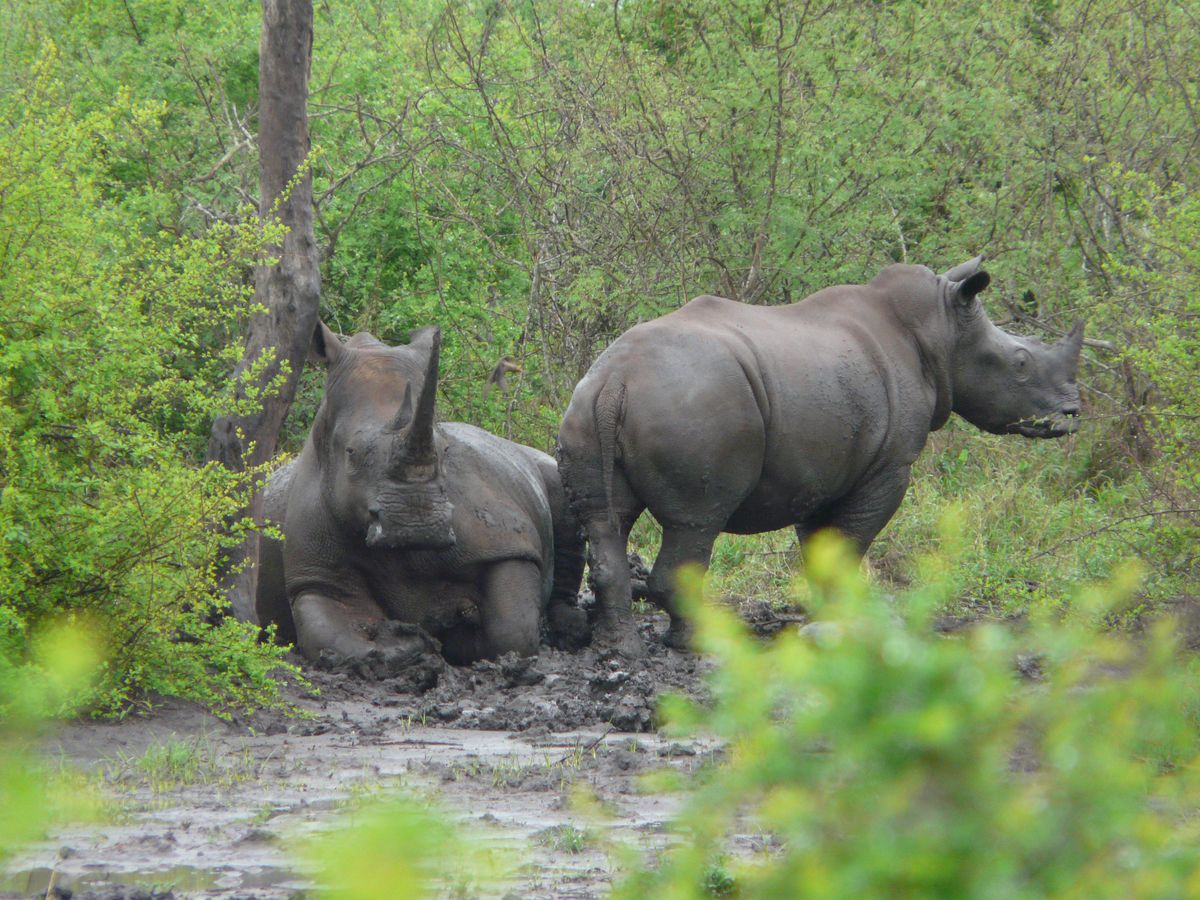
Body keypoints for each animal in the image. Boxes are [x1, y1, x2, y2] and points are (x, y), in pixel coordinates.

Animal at [256, 322, 586, 670]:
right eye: (351, 453)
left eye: (445, 450)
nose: (416, 524)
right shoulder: (317, 575)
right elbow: (331, 636)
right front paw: (408, 645)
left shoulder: (504, 538)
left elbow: (513, 628)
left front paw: (454, 630)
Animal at [557, 257, 1084, 656]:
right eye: (1021, 363)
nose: (1072, 414)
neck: (941, 327)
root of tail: (617, 380)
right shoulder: (888, 466)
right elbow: (851, 541)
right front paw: (844, 623)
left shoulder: (821, 466)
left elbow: (820, 546)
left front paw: (826, 621)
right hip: (694, 405)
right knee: (696, 522)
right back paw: (698, 646)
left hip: (587, 406)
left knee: (607, 521)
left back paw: (619, 649)